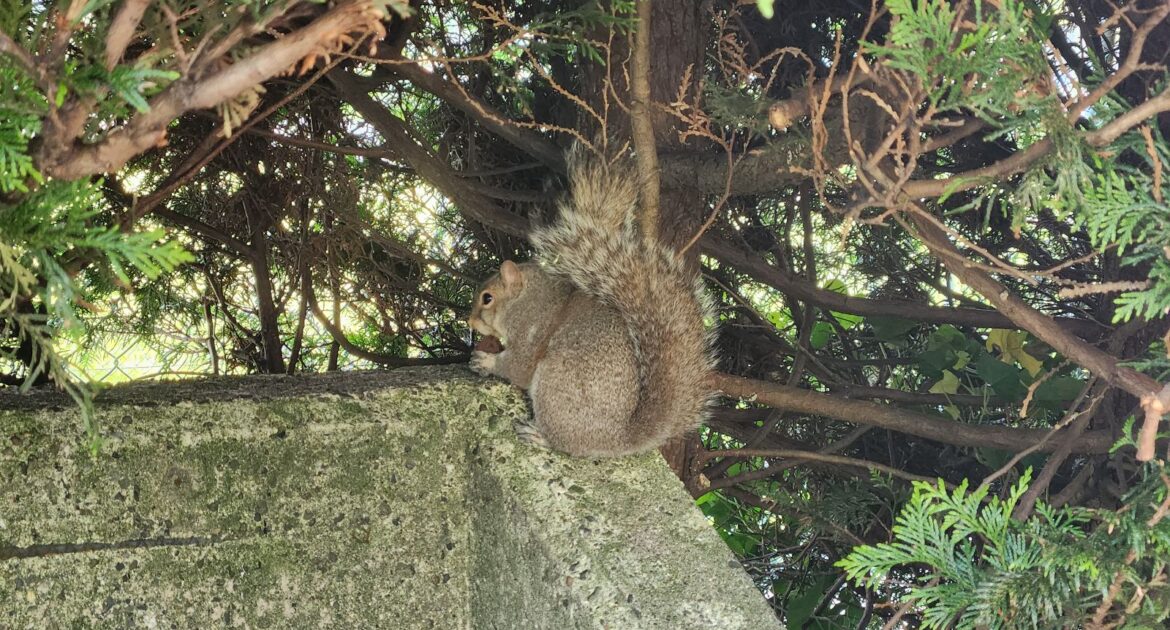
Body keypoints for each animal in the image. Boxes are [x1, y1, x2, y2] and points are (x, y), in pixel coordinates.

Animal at [467, 154, 715, 457]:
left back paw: (539, 435)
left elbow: (517, 368)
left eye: (487, 298)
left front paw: (486, 361)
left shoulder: (530, 330)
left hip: (556, 382)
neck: (529, 297)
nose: (469, 321)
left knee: (565, 443)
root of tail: (618, 439)